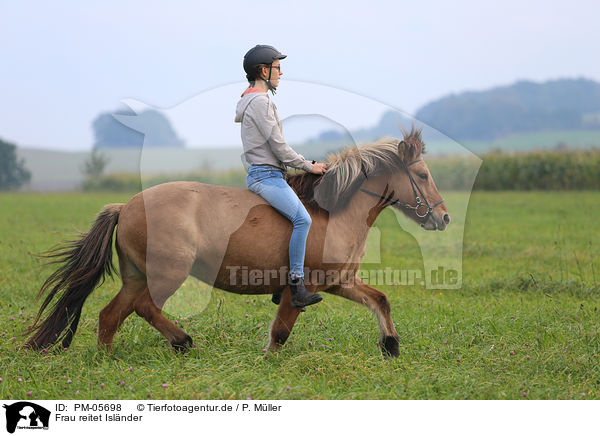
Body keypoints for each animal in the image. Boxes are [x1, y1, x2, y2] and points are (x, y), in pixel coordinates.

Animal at [25, 129, 448, 358]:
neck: (334, 212)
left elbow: (380, 299)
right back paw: (183, 341)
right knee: (145, 308)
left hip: (135, 277)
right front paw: (267, 361)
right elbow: (280, 332)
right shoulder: (303, 288)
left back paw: (107, 360)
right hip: (167, 274)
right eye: (423, 175)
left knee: (110, 315)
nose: (443, 217)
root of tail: (125, 205)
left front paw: (390, 345)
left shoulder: (339, 282)